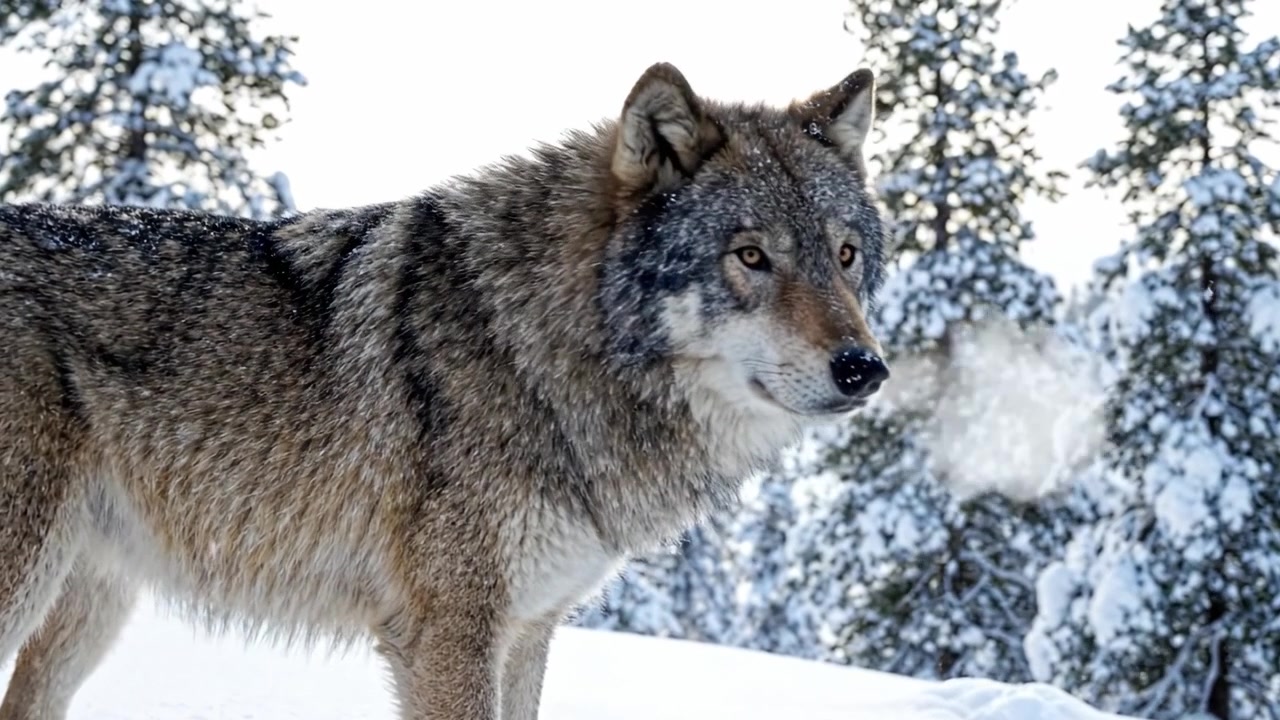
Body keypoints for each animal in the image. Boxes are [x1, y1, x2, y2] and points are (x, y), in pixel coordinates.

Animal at [0, 62, 890, 719]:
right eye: (751, 256)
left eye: (845, 255)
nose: (865, 368)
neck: (537, 345)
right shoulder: (447, 633)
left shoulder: (528, 629)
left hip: (88, 603)